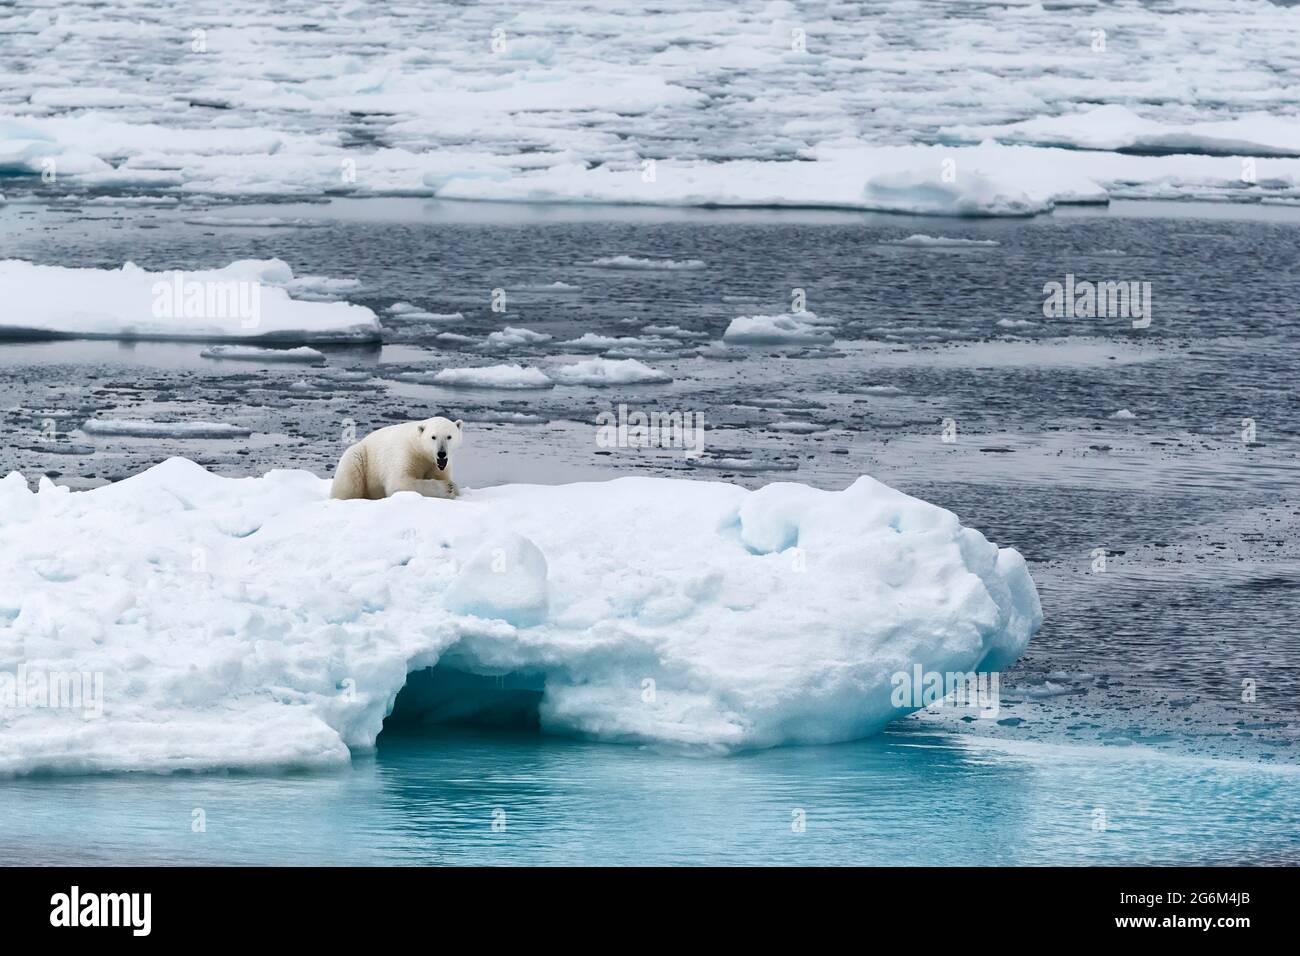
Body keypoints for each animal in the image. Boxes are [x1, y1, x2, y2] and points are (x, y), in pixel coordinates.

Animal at [330, 416, 464, 501]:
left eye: (449, 436)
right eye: (433, 437)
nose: (441, 453)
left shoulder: (438, 465)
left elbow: (441, 475)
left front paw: (453, 487)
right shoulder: (406, 453)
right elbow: (399, 482)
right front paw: (448, 488)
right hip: (360, 459)